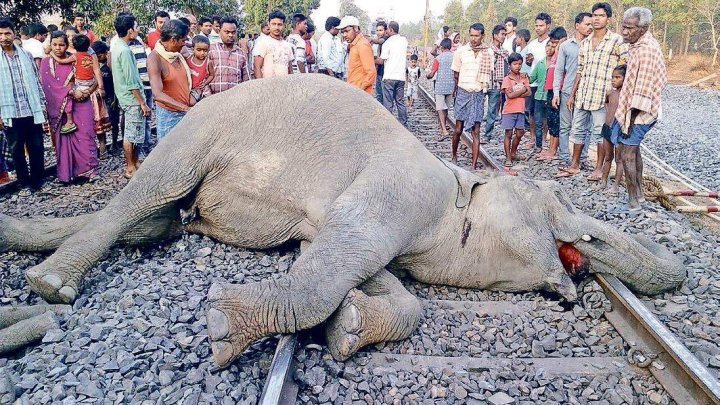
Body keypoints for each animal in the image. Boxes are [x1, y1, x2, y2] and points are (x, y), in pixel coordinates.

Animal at [0, 74, 688, 368]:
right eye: (552, 198)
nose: (678, 272)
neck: (457, 189)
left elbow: (373, 279)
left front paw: (348, 329)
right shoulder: (399, 191)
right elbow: (334, 260)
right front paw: (222, 327)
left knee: (152, 223)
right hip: (197, 129)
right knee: (147, 193)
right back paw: (50, 287)